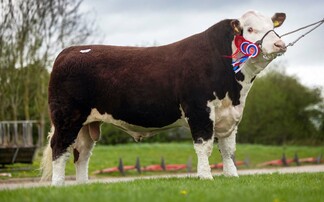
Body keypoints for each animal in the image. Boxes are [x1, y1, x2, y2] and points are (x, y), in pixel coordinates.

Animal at [39, 10, 286, 185]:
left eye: (272, 27)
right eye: (250, 29)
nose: (279, 43)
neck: (235, 91)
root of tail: (69, 51)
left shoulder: (230, 116)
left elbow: (228, 150)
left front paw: (232, 176)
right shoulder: (199, 111)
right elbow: (204, 147)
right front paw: (206, 177)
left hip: (86, 124)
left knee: (82, 152)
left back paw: (83, 185)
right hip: (67, 117)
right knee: (60, 148)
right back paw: (58, 186)